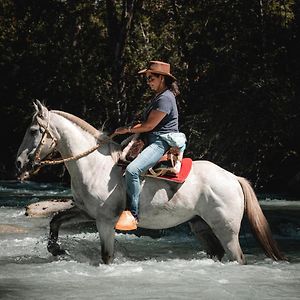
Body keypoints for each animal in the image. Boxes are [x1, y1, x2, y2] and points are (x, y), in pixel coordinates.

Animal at [15, 102, 284, 264]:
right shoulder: (87, 212)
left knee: (237, 257)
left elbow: (106, 256)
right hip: (201, 226)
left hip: (226, 230)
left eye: (33, 130)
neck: (92, 165)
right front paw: (56, 250)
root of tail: (233, 178)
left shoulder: (105, 221)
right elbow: (55, 220)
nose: (19, 163)